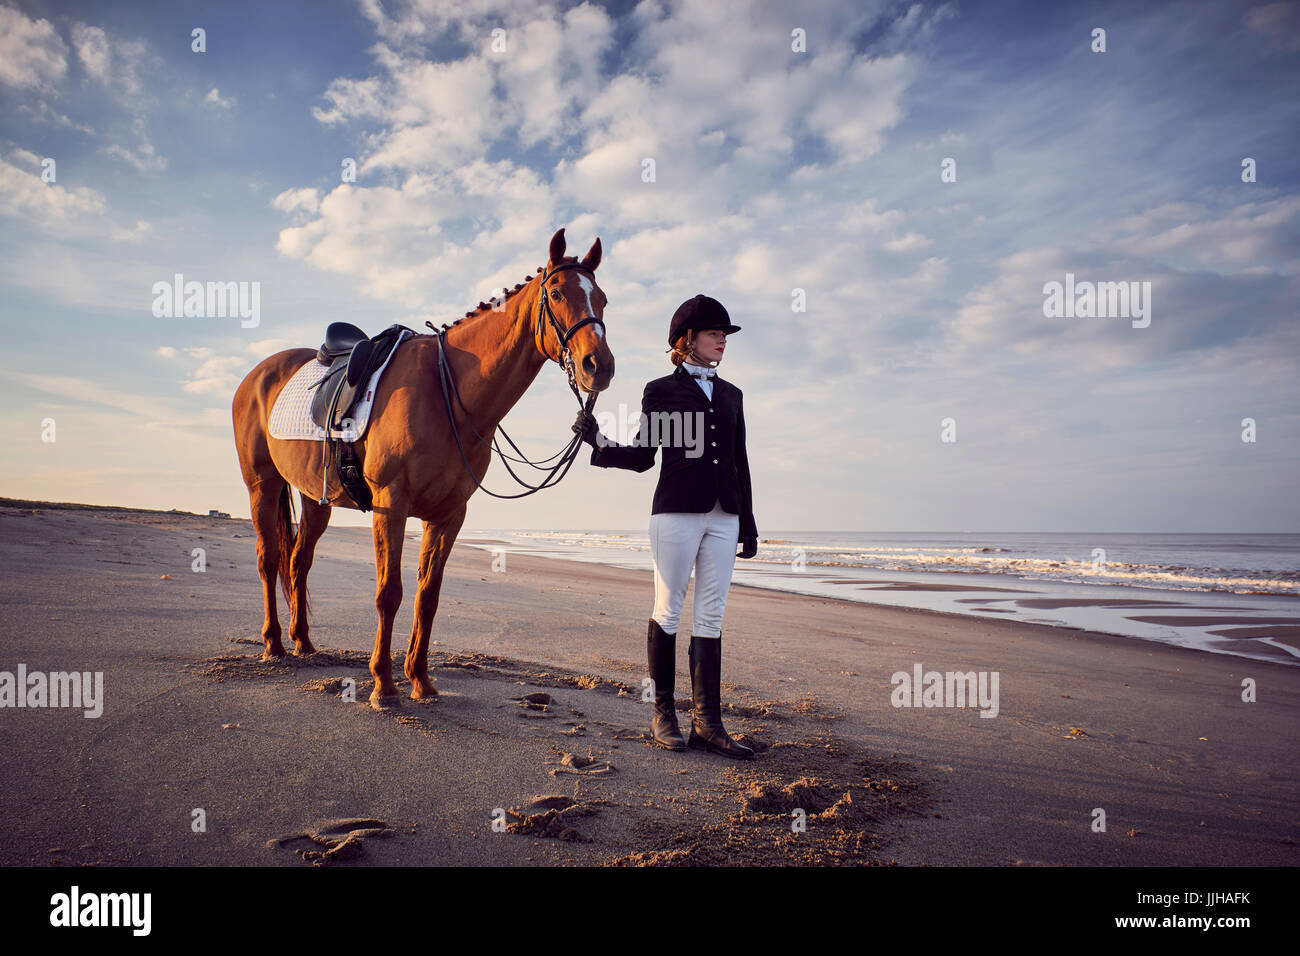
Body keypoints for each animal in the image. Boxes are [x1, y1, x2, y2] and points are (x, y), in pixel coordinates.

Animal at [232, 228, 613, 707]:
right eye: (558, 293)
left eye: (602, 299)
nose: (599, 366)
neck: (446, 389)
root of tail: (258, 374)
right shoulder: (391, 506)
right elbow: (389, 593)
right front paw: (383, 684)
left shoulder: (448, 515)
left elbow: (427, 595)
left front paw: (421, 680)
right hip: (261, 486)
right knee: (268, 561)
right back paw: (274, 644)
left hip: (314, 498)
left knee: (299, 562)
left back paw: (302, 640)